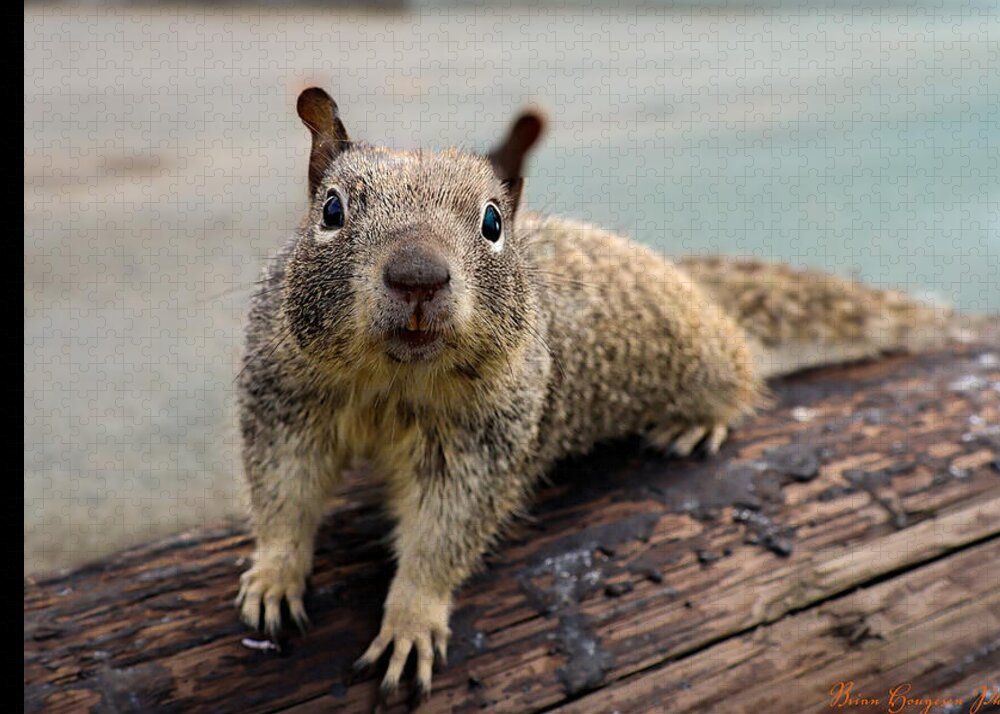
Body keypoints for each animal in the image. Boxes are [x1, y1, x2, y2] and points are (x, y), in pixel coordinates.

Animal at [235, 87, 955, 702]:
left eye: (492, 222)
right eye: (331, 210)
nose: (418, 275)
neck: (394, 381)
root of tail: (691, 284)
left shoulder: (483, 446)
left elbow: (444, 536)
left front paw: (411, 618)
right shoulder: (283, 403)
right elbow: (284, 495)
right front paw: (273, 575)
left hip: (704, 357)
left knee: (741, 370)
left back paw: (701, 421)